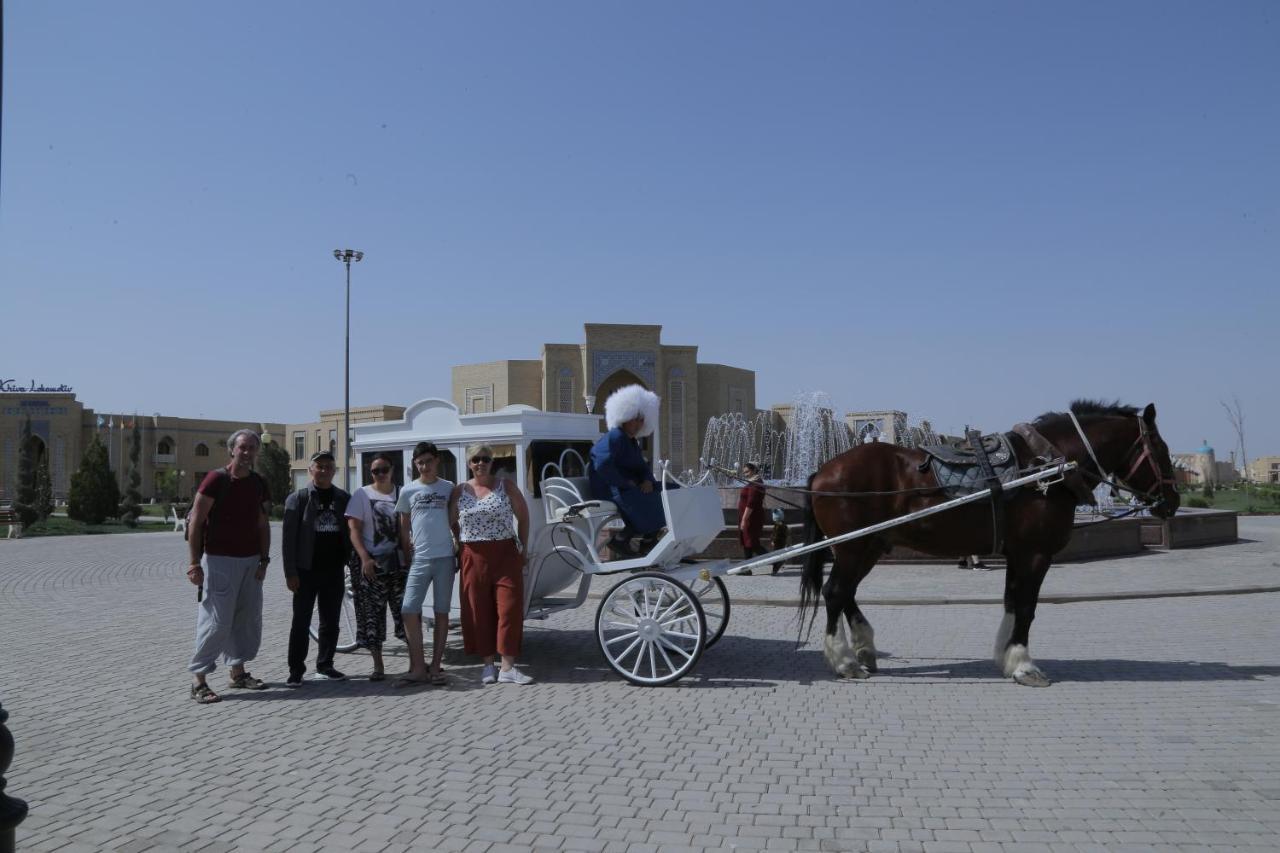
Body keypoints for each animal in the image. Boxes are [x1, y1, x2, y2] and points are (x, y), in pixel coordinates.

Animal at [798, 399, 1177, 686]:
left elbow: (1011, 602)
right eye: (1160, 448)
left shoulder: (1017, 553)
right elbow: (1026, 607)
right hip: (852, 547)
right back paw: (844, 661)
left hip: (869, 544)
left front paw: (1006, 658)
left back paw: (863, 648)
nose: (1172, 501)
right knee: (835, 592)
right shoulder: (1035, 554)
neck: (1044, 470)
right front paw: (1024, 665)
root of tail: (823, 469)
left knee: (846, 592)